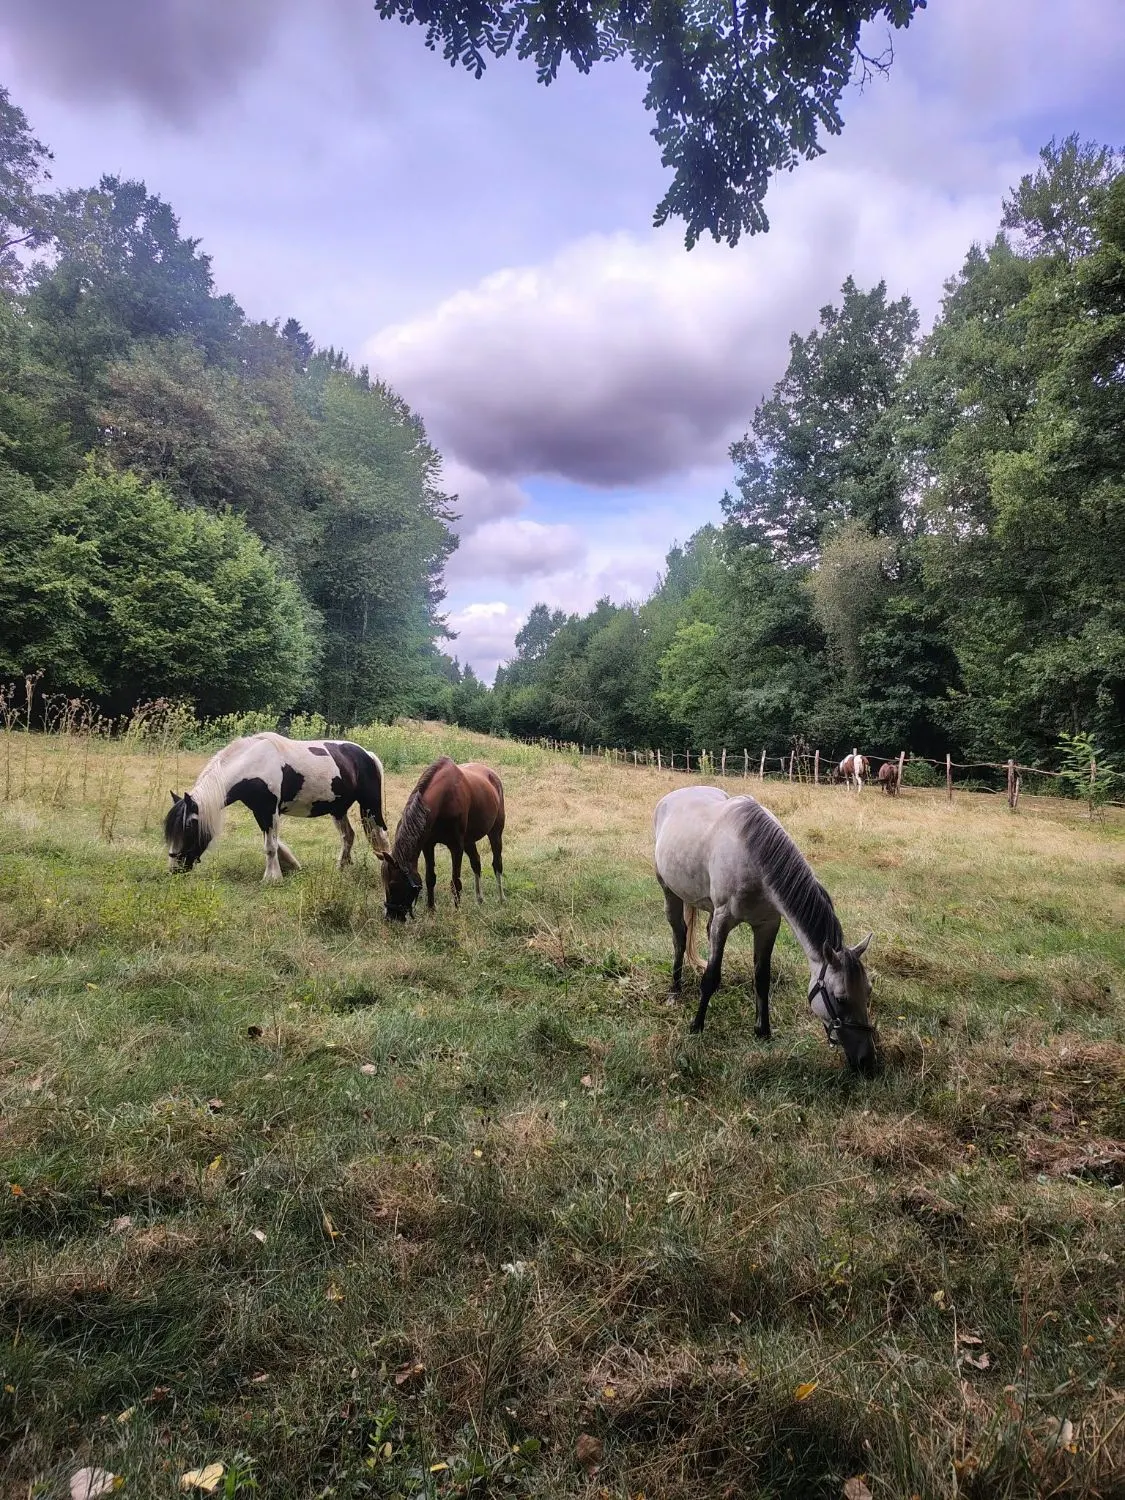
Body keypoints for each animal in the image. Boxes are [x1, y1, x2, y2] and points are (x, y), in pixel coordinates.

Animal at [164, 733, 390, 880]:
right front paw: (291, 865)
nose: (174, 869)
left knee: (382, 835)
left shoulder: (268, 810)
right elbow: (274, 842)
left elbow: (270, 845)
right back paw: (340, 868)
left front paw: (272, 878)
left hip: (371, 806)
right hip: (338, 809)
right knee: (348, 836)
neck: (252, 765)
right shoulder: (259, 811)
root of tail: (367, 754)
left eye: (188, 827)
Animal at [380, 756, 505, 921]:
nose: (390, 917)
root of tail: (492, 774)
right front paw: (431, 909)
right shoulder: (428, 845)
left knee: (497, 863)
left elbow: (456, 881)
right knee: (476, 863)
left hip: (495, 832)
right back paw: (479, 899)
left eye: (393, 884)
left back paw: (501, 898)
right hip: (469, 840)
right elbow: (430, 878)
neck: (444, 799)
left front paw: (458, 911)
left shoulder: (456, 847)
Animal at [653, 785, 878, 1072]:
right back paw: (675, 991)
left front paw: (763, 1030)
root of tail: (673, 796)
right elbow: (711, 975)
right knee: (680, 937)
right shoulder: (723, 920)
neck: (754, 859)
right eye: (840, 999)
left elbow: (762, 978)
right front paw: (697, 1026)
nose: (867, 1061)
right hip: (669, 890)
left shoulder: (767, 925)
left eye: (868, 991)